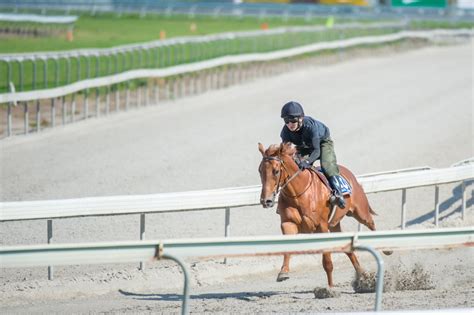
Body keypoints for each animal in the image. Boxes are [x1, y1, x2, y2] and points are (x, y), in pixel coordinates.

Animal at [260, 143, 388, 286]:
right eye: (260, 170)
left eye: (276, 171)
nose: (266, 201)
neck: (299, 194)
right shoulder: (288, 223)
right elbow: (287, 248)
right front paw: (283, 272)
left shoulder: (321, 226)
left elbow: (327, 263)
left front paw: (330, 288)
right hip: (334, 224)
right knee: (347, 247)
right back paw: (363, 275)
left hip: (360, 212)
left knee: (371, 223)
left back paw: (387, 249)